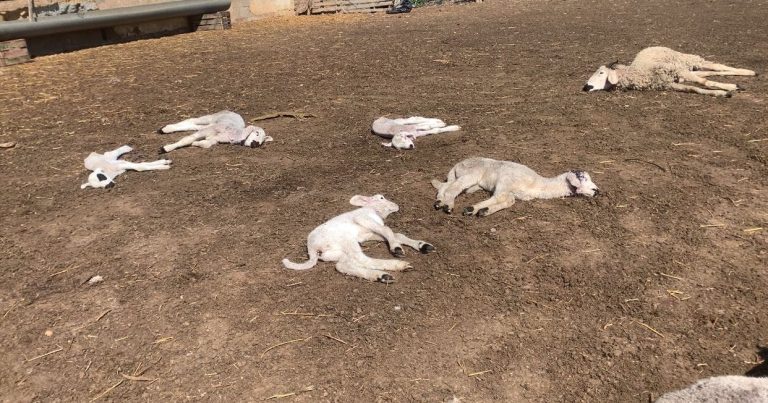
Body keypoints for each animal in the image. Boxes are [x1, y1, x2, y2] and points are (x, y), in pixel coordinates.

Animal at [282, 194, 435, 283]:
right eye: (381, 198)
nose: (396, 205)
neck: (375, 212)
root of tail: (312, 250)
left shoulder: (367, 234)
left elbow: (396, 235)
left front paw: (422, 245)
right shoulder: (363, 219)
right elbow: (388, 230)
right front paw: (396, 248)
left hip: (336, 252)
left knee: (342, 266)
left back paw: (379, 276)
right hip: (346, 240)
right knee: (362, 259)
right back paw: (395, 266)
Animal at [431, 157, 599, 217]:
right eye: (583, 178)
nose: (597, 190)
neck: (536, 184)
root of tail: (457, 164)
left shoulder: (511, 192)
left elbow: (508, 201)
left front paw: (484, 210)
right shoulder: (504, 183)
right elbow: (497, 198)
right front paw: (472, 209)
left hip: (470, 182)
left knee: (445, 185)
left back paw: (439, 202)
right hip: (471, 173)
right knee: (453, 188)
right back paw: (448, 206)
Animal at [583, 47, 756, 97]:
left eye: (601, 73)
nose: (586, 87)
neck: (639, 72)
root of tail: (653, 46)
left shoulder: (677, 71)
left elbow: (702, 83)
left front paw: (730, 88)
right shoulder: (670, 84)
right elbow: (695, 88)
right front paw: (722, 92)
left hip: (687, 61)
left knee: (715, 66)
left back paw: (750, 72)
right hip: (683, 69)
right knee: (708, 73)